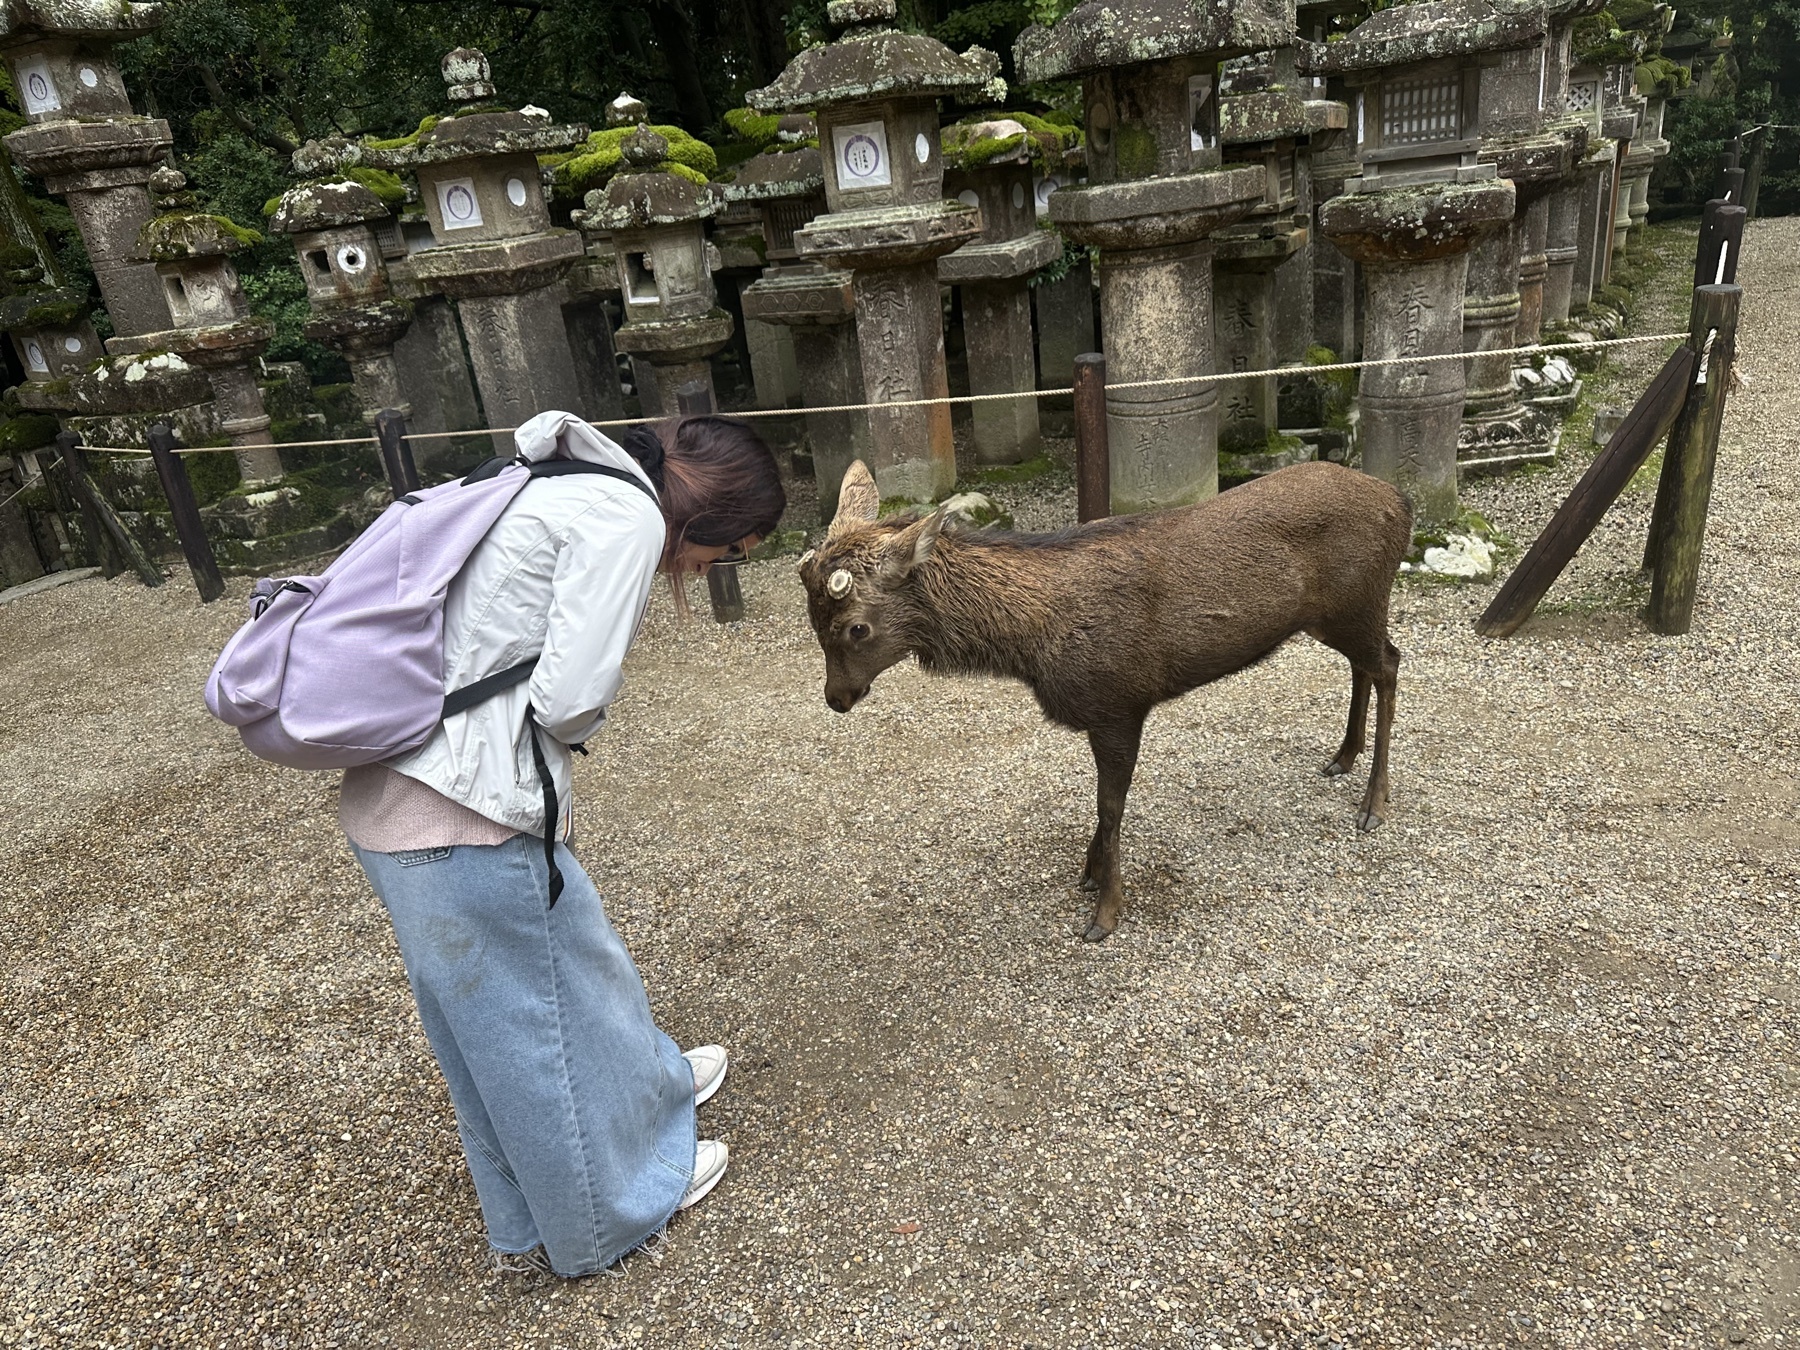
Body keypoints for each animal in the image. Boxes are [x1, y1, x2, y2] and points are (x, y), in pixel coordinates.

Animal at [797, 458, 1413, 942]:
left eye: (855, 628)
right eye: (812, 622)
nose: (836, 697)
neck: (1032, 645)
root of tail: (1401, 502)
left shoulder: (1121, 700)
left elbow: (1110, 804)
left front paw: (1104, 913)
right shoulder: (1102, 712)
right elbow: (1103, 803)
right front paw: (1090, 872)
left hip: (1360, 601)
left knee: (1390, 662)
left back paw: (1373, 802)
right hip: (1339, 616)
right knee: (1366, 664)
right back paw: (1342, 756)